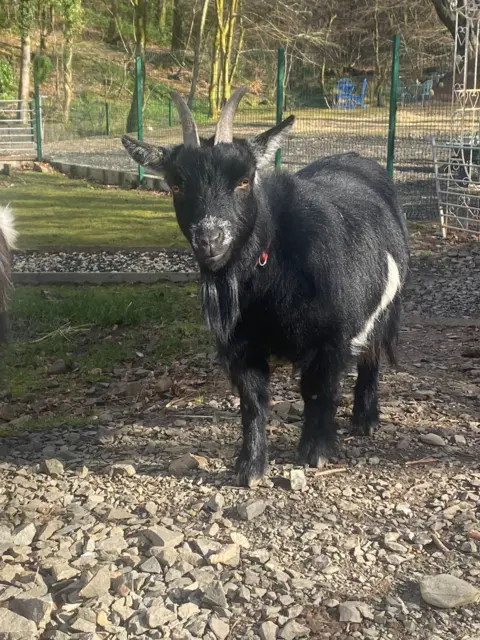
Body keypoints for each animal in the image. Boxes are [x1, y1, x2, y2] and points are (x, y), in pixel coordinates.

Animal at [122, 86, 410, 487]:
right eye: (176, 185)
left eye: (244, 180)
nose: (210, 240)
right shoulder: (241, 344)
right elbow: (253, 401)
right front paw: (251, 468)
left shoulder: (332, 337)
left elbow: (320, 390)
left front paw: (316, 451)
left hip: (386, 305)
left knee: (373, 353)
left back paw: (365, 419)